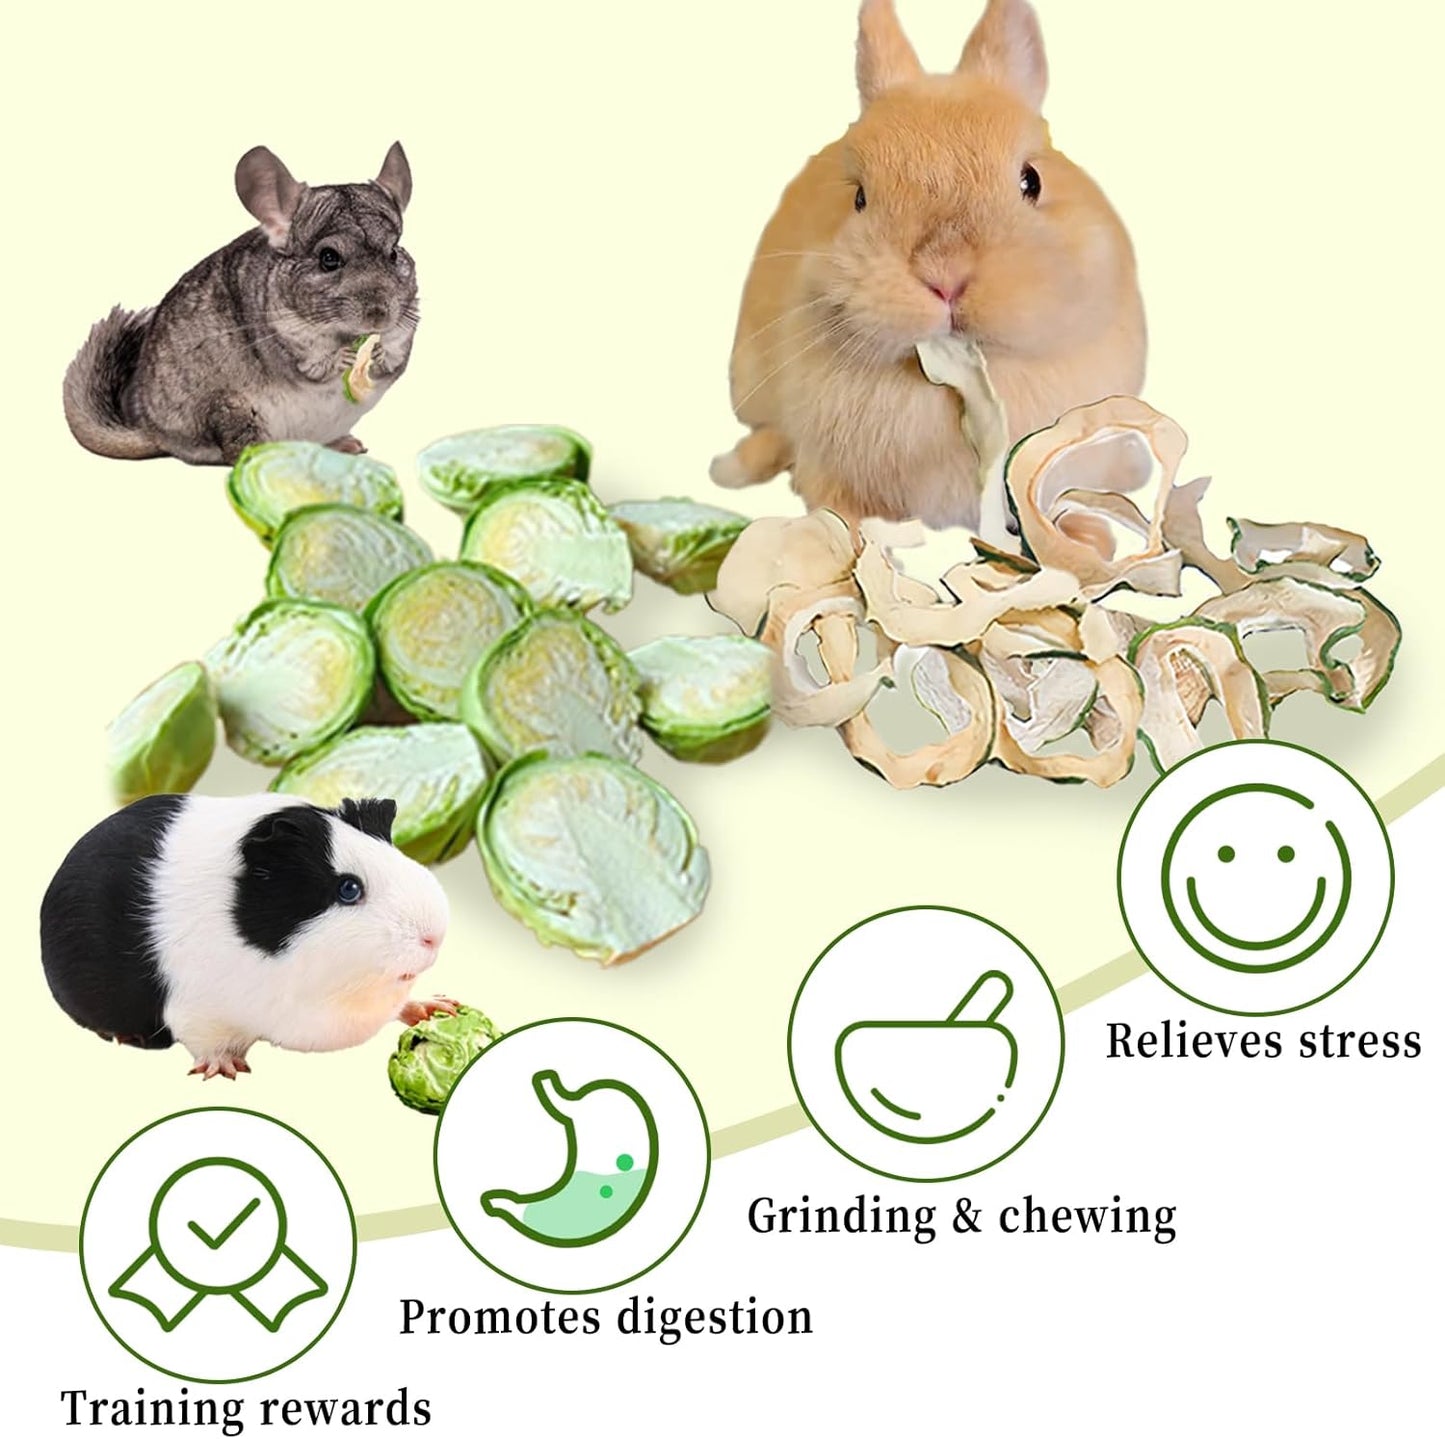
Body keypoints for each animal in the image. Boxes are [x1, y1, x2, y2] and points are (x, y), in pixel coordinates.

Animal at [39, 793, 454, 1078]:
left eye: (398, 857)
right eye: (348, 889)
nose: (434, 937)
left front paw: (438, 1008)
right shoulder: (198, 1012)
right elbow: (206, 1042)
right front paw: (225, 1070)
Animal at [63, 143, 419, 466]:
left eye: (394, 252)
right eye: (328, 258)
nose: (379, 315)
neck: (343, 331)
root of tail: (155, 431)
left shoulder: (407, 328)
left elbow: (396, 355)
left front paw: (379, 352)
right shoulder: (290, 341)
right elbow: (315, 364)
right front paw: (344, 357)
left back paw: (344, 445)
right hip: (230, 409)